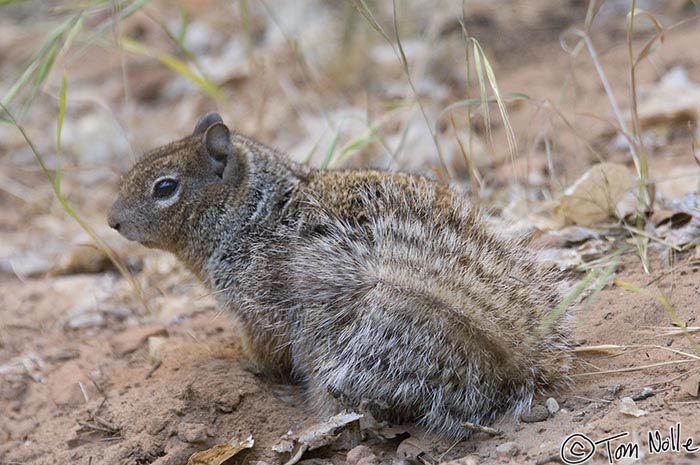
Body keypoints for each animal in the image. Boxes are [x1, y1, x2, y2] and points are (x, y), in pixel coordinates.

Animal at [108, 112, 568, 438]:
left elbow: (261, 348)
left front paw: (247, 364)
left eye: (165, 187)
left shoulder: (255, 311)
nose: (112, 221)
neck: (251, 211)